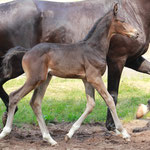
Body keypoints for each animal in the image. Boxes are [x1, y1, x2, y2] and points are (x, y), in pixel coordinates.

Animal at [0, 0, 150, 131]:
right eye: (123, 21)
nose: (136, 33)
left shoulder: (132, 60)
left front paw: (143, 109)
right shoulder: (117, 59)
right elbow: (112, 95)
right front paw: (113, 126)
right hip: (21, 69)